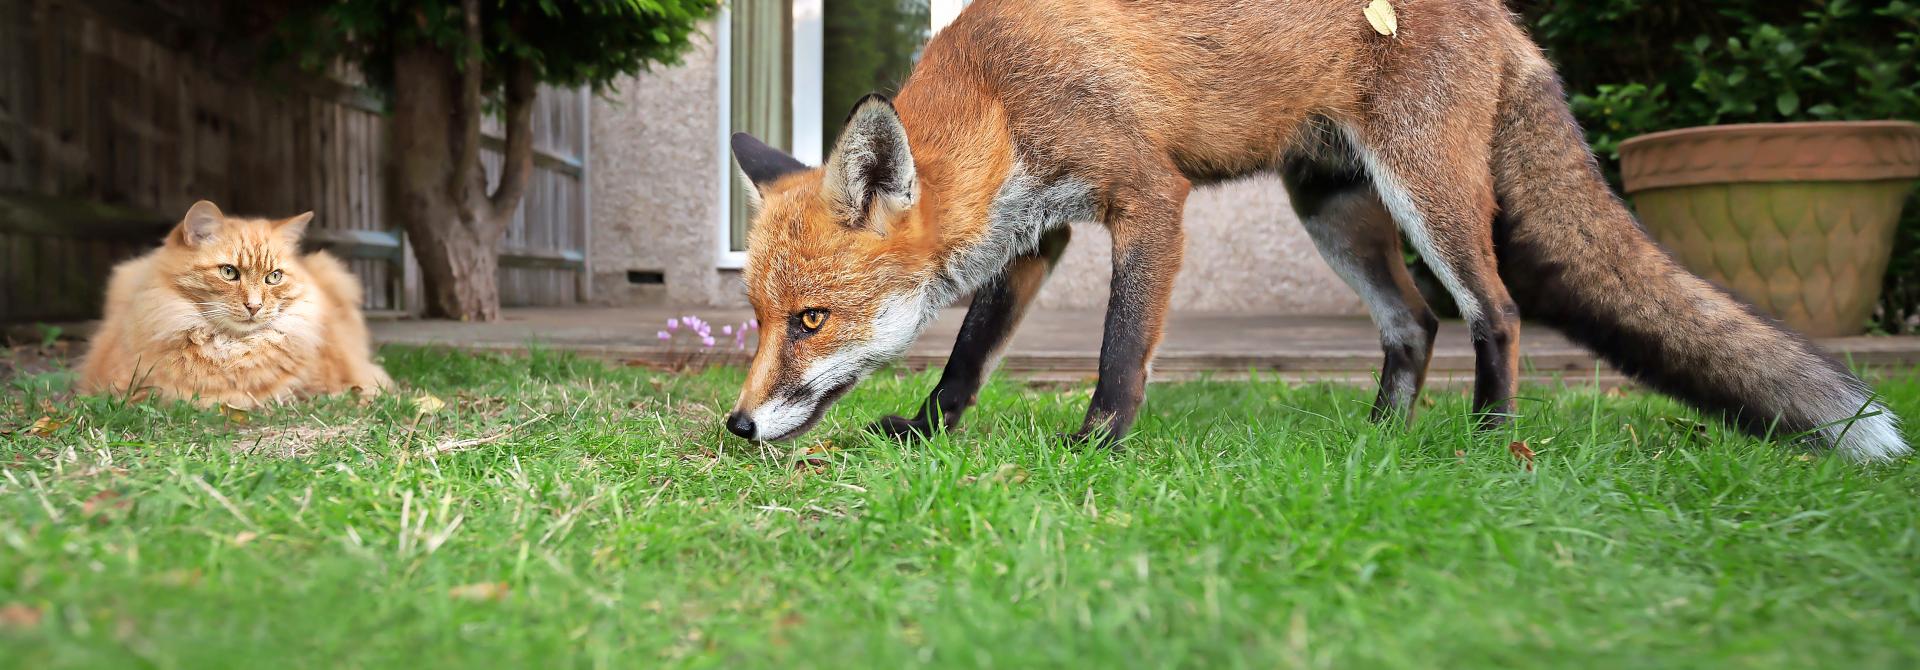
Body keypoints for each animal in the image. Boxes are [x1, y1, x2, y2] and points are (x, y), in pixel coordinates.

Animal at [722, 0, 1908, 462]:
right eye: (760, 317)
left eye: (812, 319)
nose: (733, 425)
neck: (1002, 91)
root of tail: (1507, 21)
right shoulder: (1036, 236)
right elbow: (966, 355)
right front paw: (925, 431)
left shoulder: (1146, 196)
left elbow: (1120, 347)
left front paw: (1099, 441)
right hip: (1332, 210)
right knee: (1412, 326)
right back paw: (1383, 439)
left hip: (1428, 196)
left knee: (1494, 310)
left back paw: (1488, 438)